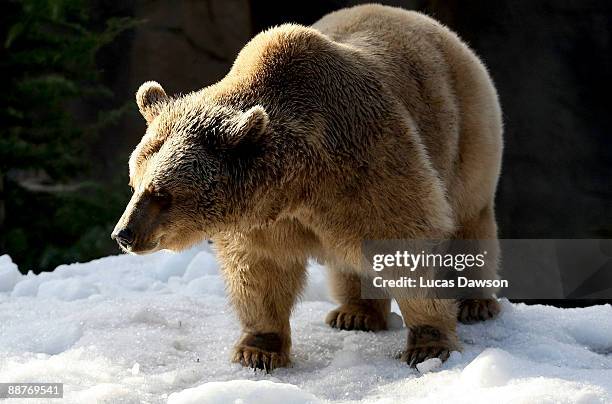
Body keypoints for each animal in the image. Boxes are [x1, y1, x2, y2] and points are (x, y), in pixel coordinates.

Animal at [113, 3, 502, 370]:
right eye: (133, 182)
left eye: (162, 193)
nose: (124, 234)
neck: (300, 182)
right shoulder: (263, 218)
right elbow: (260, 272)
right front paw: (257, 350)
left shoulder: (371, 164)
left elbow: (405, 239)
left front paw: (429, 344)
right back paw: (354, 313)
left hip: (465, 130)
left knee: (470, 217)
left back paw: (476, 303)